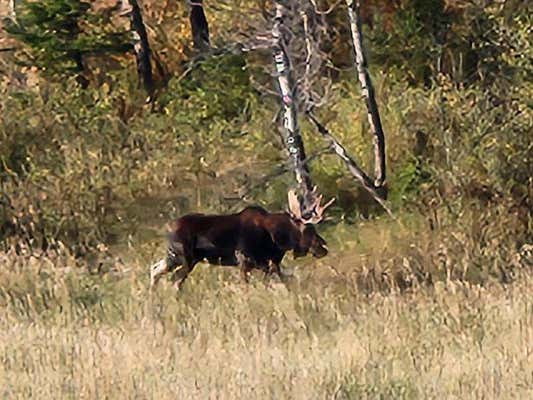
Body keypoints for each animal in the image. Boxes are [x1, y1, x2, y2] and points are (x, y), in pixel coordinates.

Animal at [150, 189, 332, 292]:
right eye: (309, 229)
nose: (323, 247)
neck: (275, 241)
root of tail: (167, 229)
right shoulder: (245, 260)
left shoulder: (269, 264)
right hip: (184, 258)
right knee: (173, 280)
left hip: (177, 257)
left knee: (155, 270)